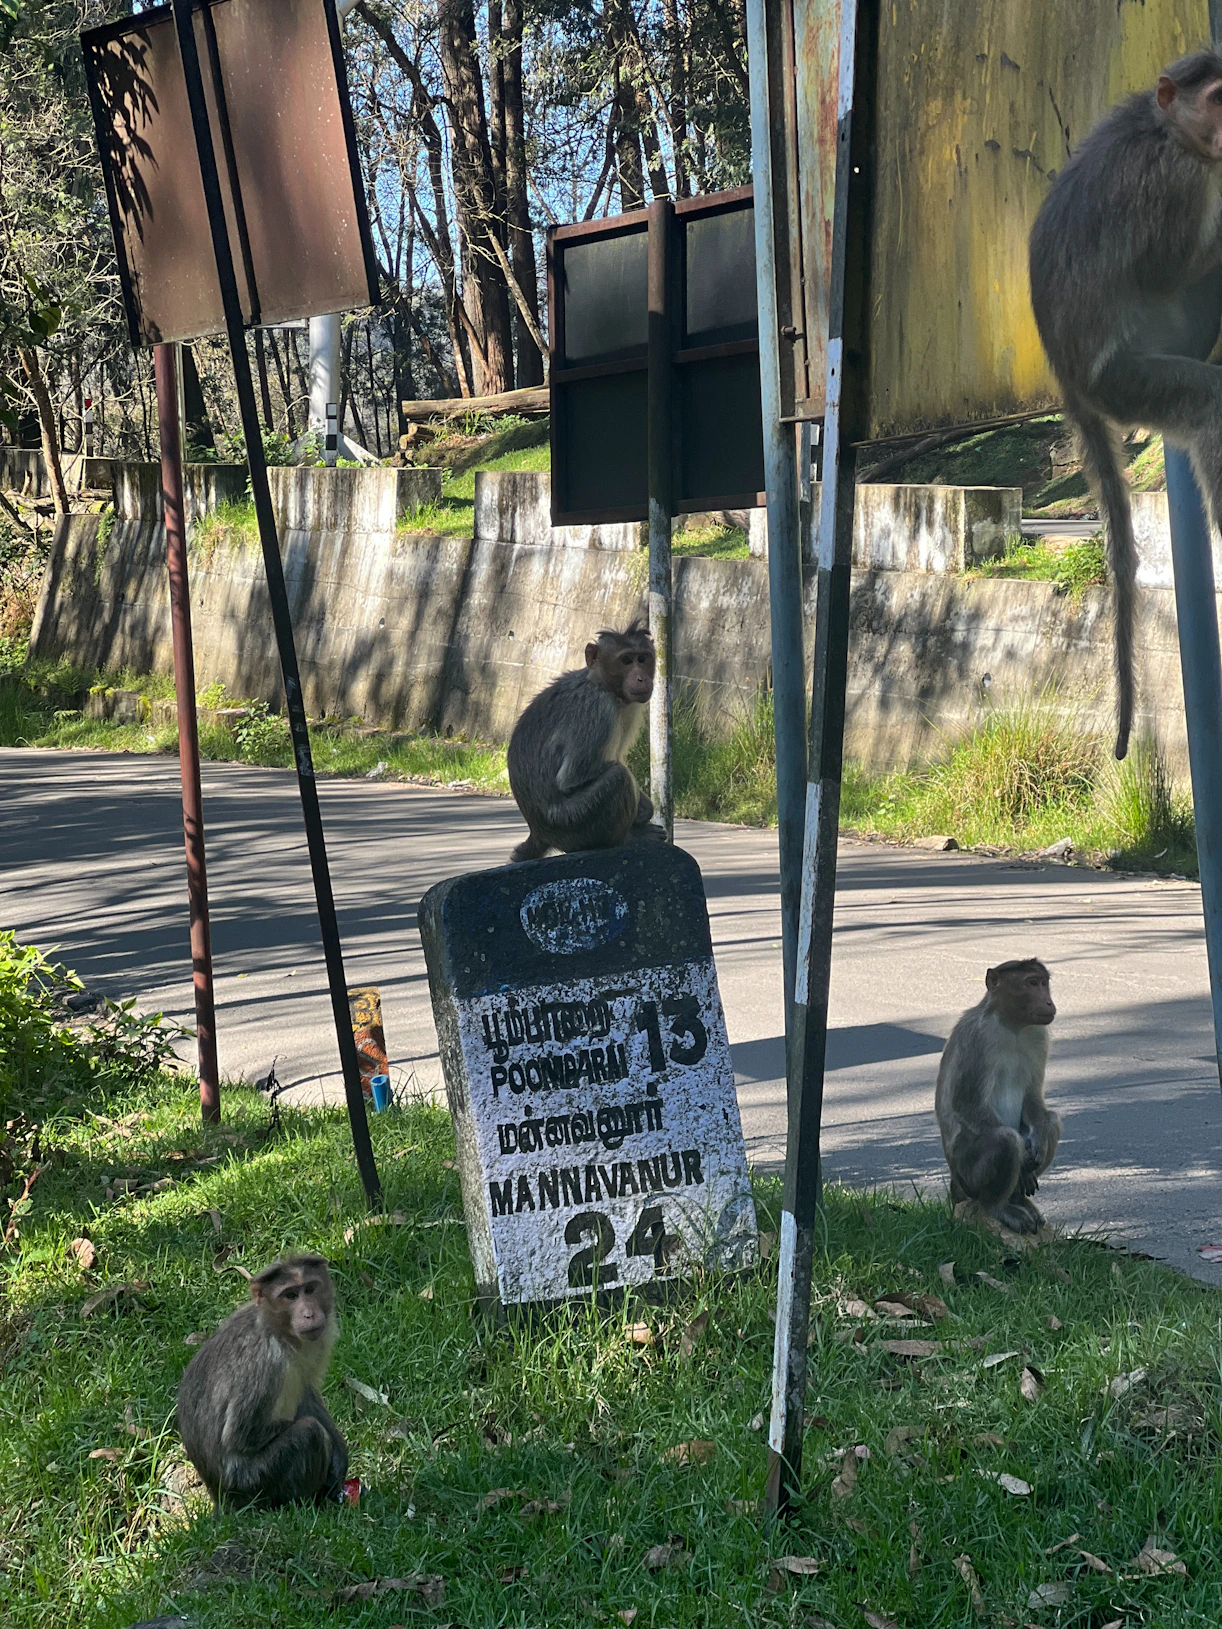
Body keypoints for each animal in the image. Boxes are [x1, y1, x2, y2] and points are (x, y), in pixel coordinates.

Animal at [176, 1253, 347, 1507]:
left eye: (310, 1289)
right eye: (290, 1295)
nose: (309, 1313)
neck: (279, 1331)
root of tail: (221, 1497)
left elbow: (306, 1394)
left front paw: (340, 1457)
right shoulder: (265, 1362)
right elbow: (240, 1436)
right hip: (253, 1482)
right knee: (309, 1433)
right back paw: (310, 1503)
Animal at [506, 621, 661, 863]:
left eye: (642, 659)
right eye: (626, 660)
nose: (641, 678)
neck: (602, 684)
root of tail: (539, 832)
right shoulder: (598, 711)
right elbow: (572, 778)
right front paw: (643, 810)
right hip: (573, 823)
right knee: (618, 778)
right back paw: (625, 839)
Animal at [934, 959, 1061, 1235]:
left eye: (1044, 983)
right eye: (1031, 983)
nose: (1048, 1002)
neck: (1012, 1025)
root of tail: (954, 1183)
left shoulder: (1039, 1035)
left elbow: (1033, 1099)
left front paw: (1037, 1143)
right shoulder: (976, 1037)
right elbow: (967, 1104)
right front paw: (1022, 1166)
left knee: (1052, 1120)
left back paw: (1017, 1199)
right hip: (967, 1174)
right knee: (1006, 1139)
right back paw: (997, 1206)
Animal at [1029, 48, 1222, 761]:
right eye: (1218, 100)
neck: (1163, 127)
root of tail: (1069, 376)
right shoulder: (1174, 177)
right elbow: (1164, 271)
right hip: (1128, 379)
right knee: (1205, 396)